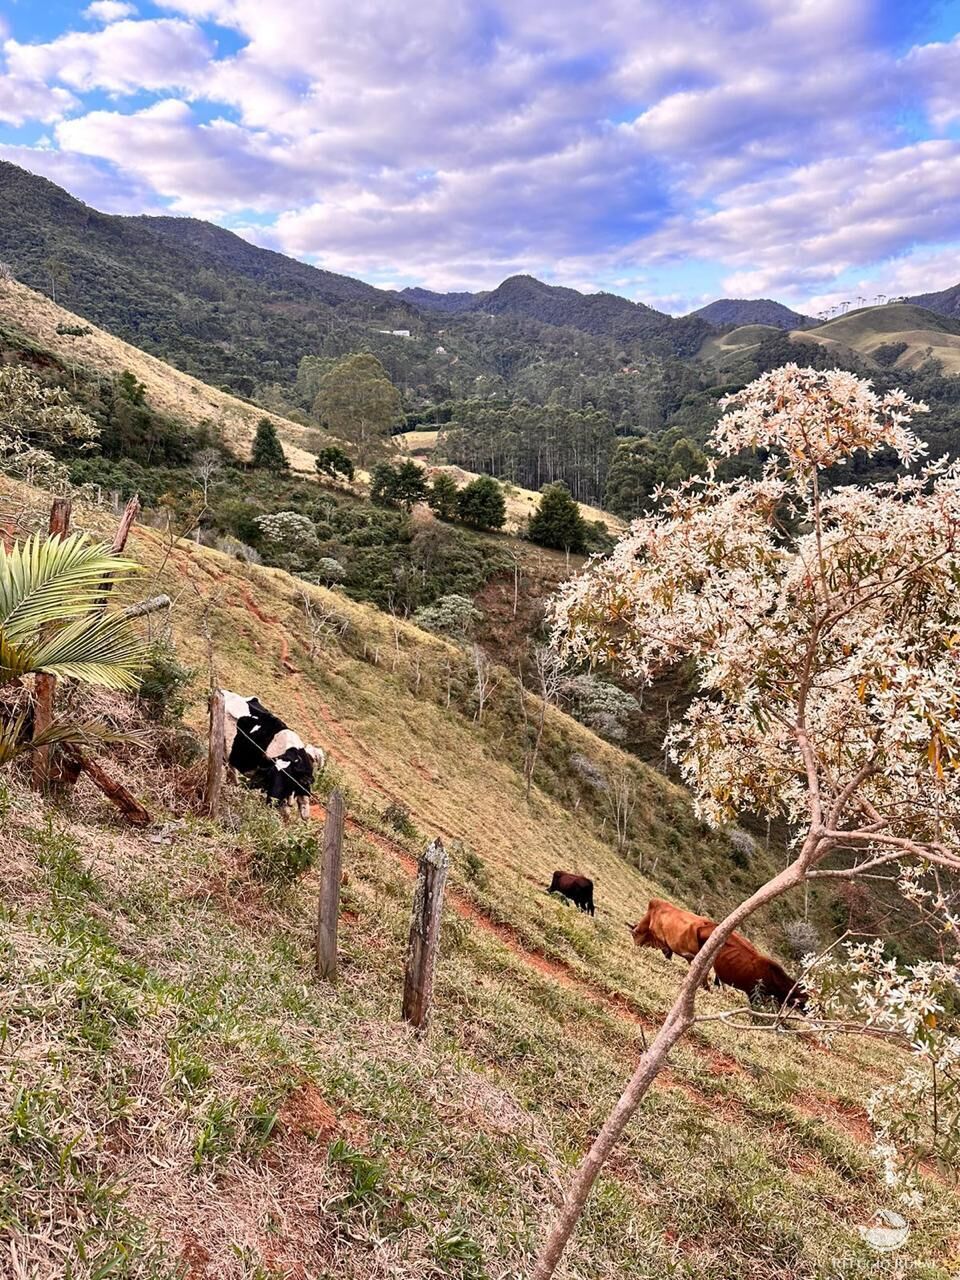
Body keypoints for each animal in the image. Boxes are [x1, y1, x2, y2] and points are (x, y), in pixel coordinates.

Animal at [221, 691, 327, 819]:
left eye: (288, 780)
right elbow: (286, 812)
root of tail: (225, 692)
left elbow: (304, 810)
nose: (272, 801)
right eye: (270, 776)